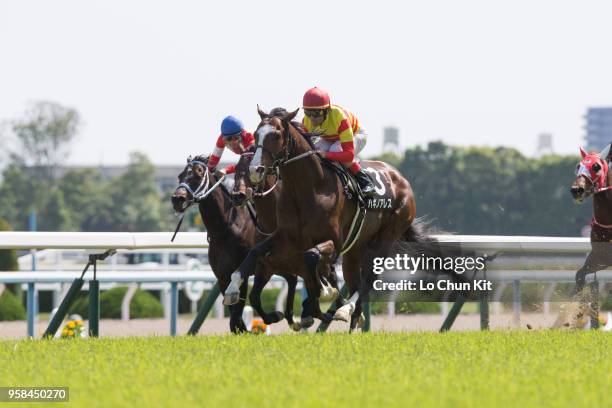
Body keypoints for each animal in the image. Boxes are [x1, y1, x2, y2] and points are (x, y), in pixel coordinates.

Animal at [170, 155, 298, 332]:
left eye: (198, 173)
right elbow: (235, 318)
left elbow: (239, 313)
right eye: (180, 176)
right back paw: (293, 319)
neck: (224, 230)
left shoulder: (244, 273)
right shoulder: (223, 277)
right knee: (291, 278)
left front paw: (272, 317)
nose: (177, 199)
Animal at [225, 107, 430, 328]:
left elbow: (312, 258)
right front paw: (232, 289)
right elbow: (255, 252)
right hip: (354, 250)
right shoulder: (286, 238)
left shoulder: (334, 242)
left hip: (385, 240)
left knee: (367, 280)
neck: (308, 189)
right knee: (355, 282)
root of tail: (400, 178)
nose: (256, 170)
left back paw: (344, 308)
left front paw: (323, 292)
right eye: (256, 134)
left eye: (277, 135)